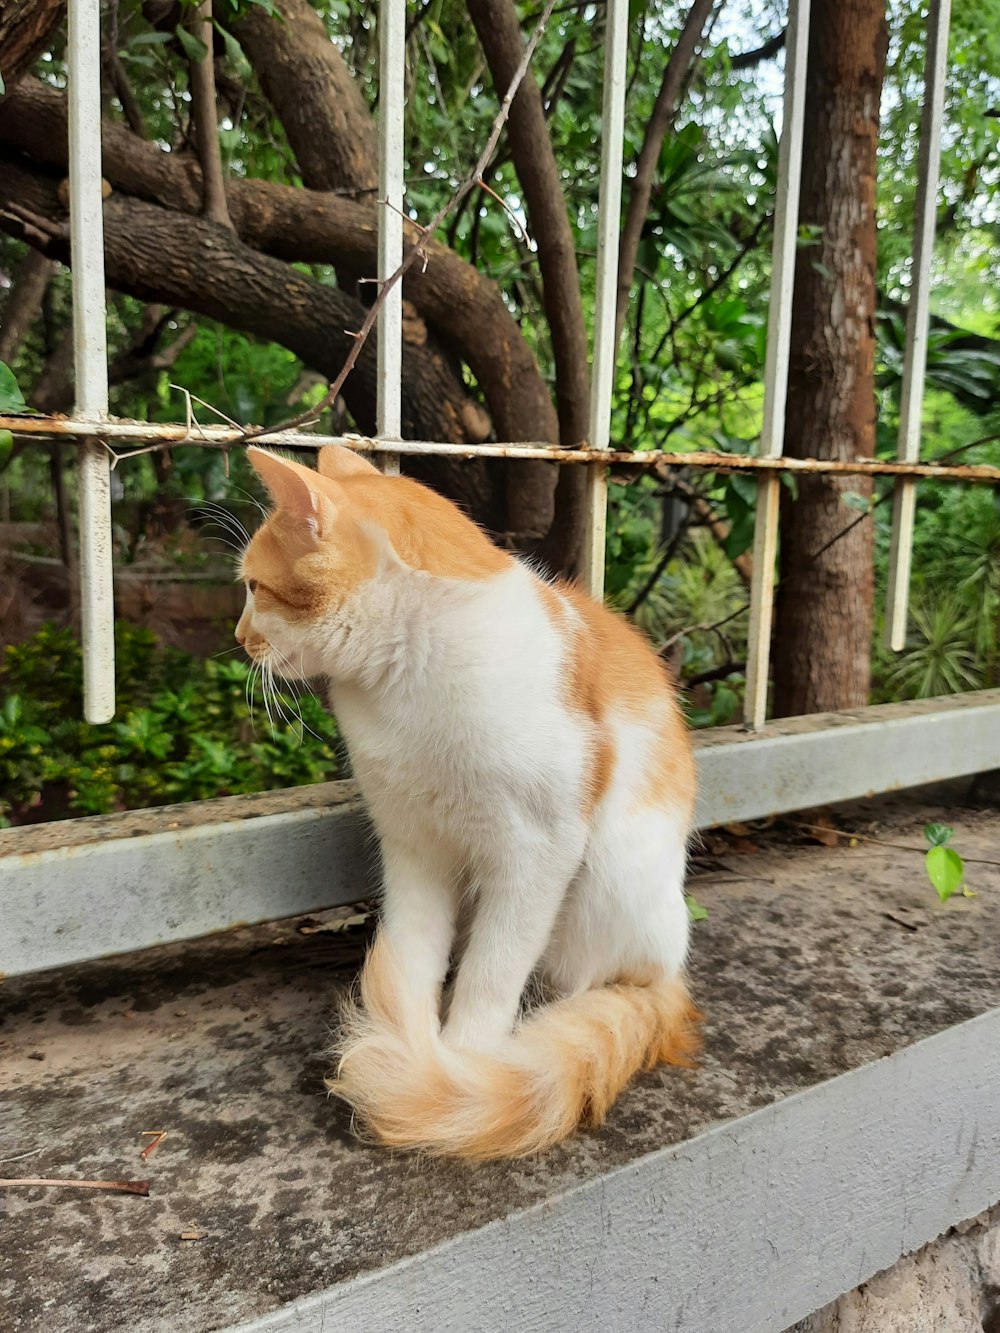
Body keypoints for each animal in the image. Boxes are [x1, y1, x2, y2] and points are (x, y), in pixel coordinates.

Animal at [237, 445, 698, 1157]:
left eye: (255, 588)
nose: (238, 638)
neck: (408, 677)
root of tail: (671, 974)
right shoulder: (410, 847)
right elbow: (411, 951)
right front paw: (410, 1040)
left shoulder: (537, 854)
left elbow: (493, 970)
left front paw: (459, 1067)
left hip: (602, 891)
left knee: (580, 981)